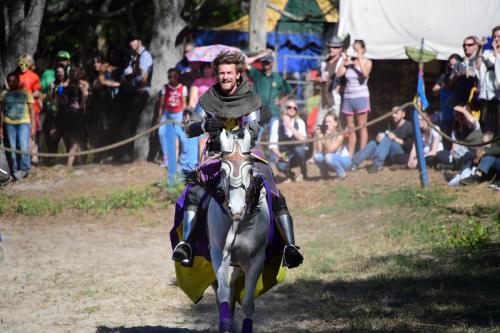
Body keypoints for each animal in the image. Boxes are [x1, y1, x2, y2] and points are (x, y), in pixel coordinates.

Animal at [206, 127, 272, 332]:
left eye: (250, 170)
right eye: (222, 170)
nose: (236, 209)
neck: (239, 224)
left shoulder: (256, 259)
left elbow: (248, 302)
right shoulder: (219, 255)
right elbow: (223, 293)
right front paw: (226, 325)